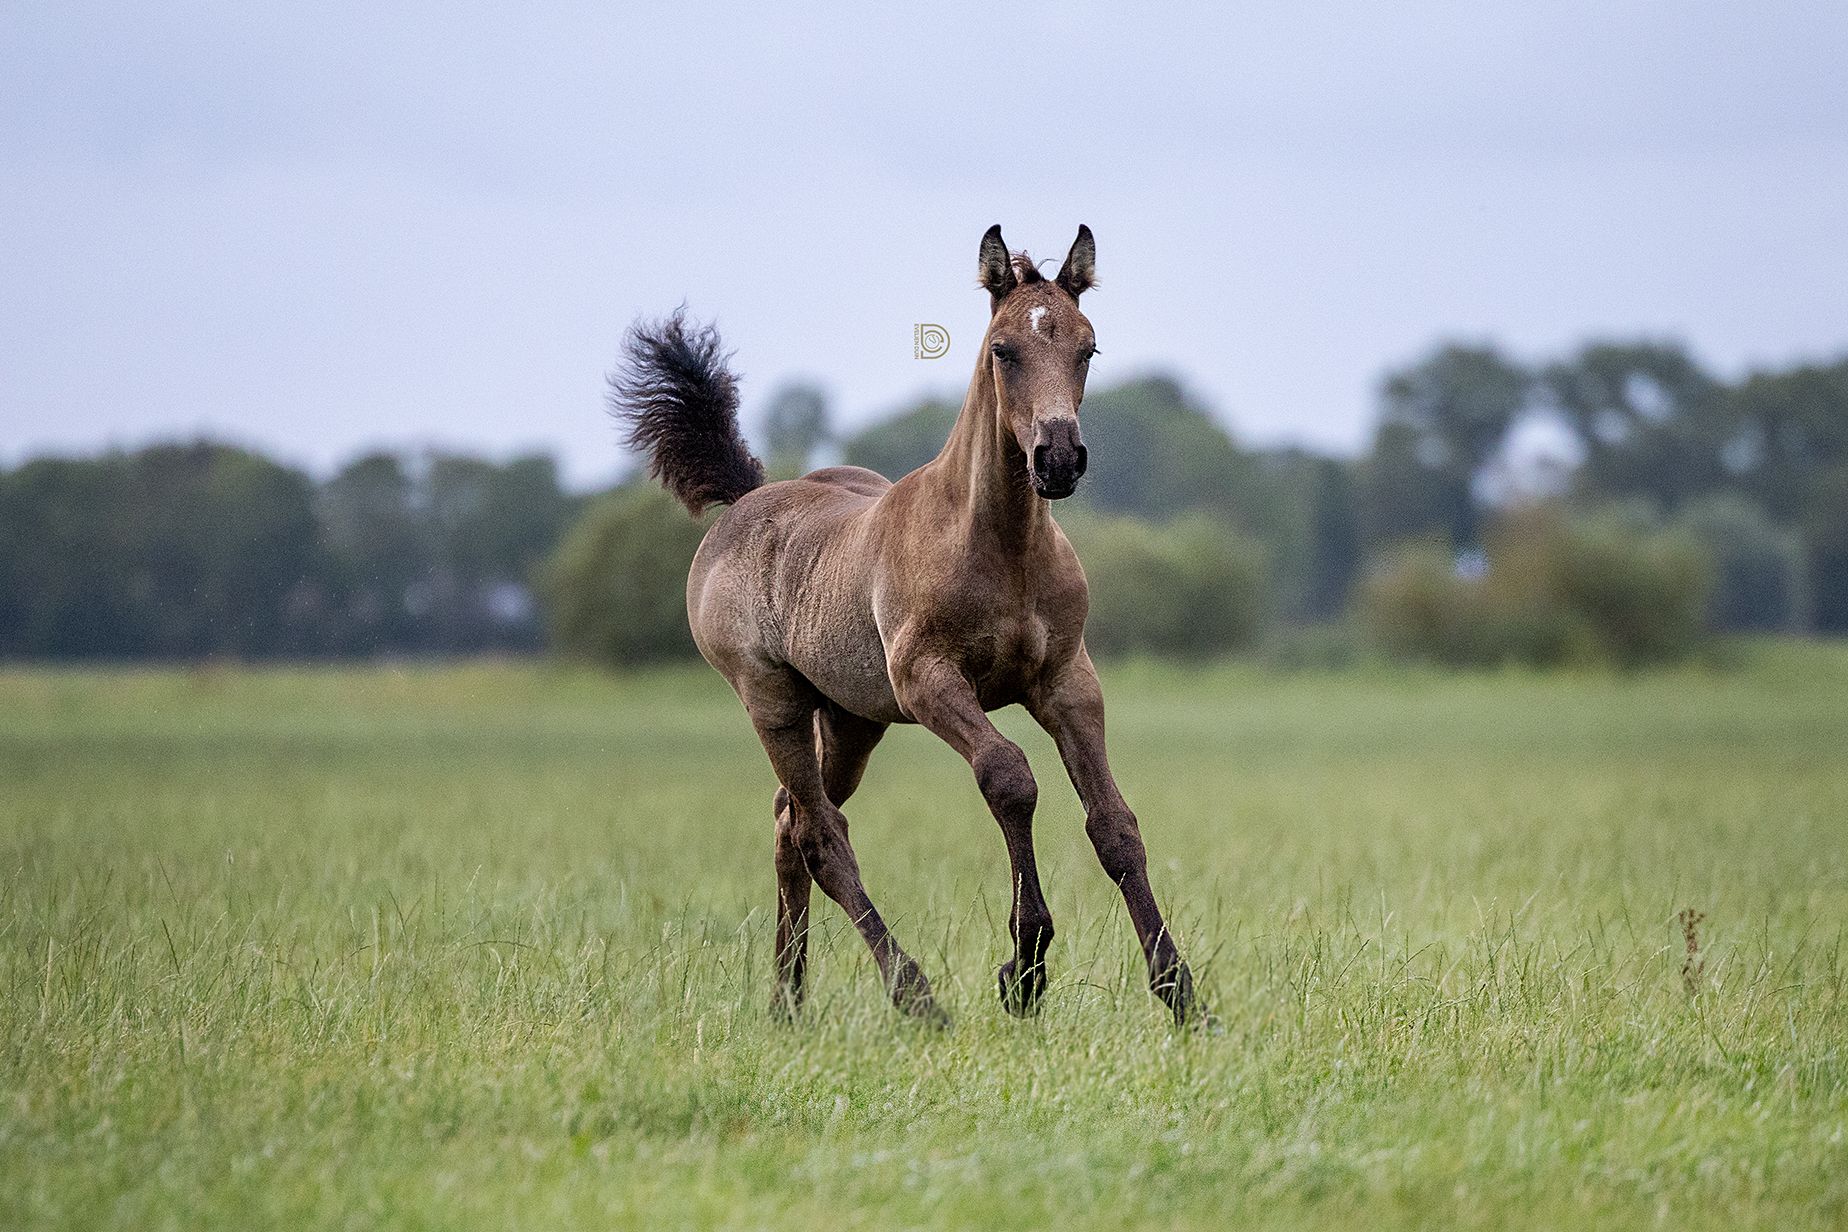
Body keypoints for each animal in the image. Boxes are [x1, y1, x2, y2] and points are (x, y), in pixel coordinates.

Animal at [610, 225, 1195, 1025]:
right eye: (1003, 349)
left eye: (1088, 347)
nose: (1058, 457)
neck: (1000, 545)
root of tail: (747, 500)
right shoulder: (927, 680)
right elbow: (1009, 778)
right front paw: (1025, 967)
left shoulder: (1068, 682)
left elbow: (1114, 825)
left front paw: (1180, 991)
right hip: (774, 703)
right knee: (822, 836)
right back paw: (914, 995)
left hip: (852, 719)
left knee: (790, 823)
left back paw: (788, 1002)